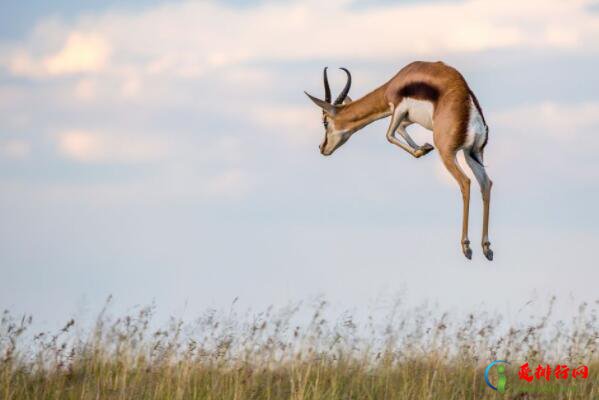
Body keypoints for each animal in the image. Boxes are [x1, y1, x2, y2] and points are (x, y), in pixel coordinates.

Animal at [308, 59, 494, 260]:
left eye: (325, 122)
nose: (322, 148)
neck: (397, 82)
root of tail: (470, 105)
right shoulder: (407, 118)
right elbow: (401, 130)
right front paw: (423, 148)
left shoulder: (397, 109)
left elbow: (389, 135)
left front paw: (421, 150)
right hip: (472, 154)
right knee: (486, 184)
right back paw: (486, 248)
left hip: (447, 153)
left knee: (465, 182)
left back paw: (466, 247)